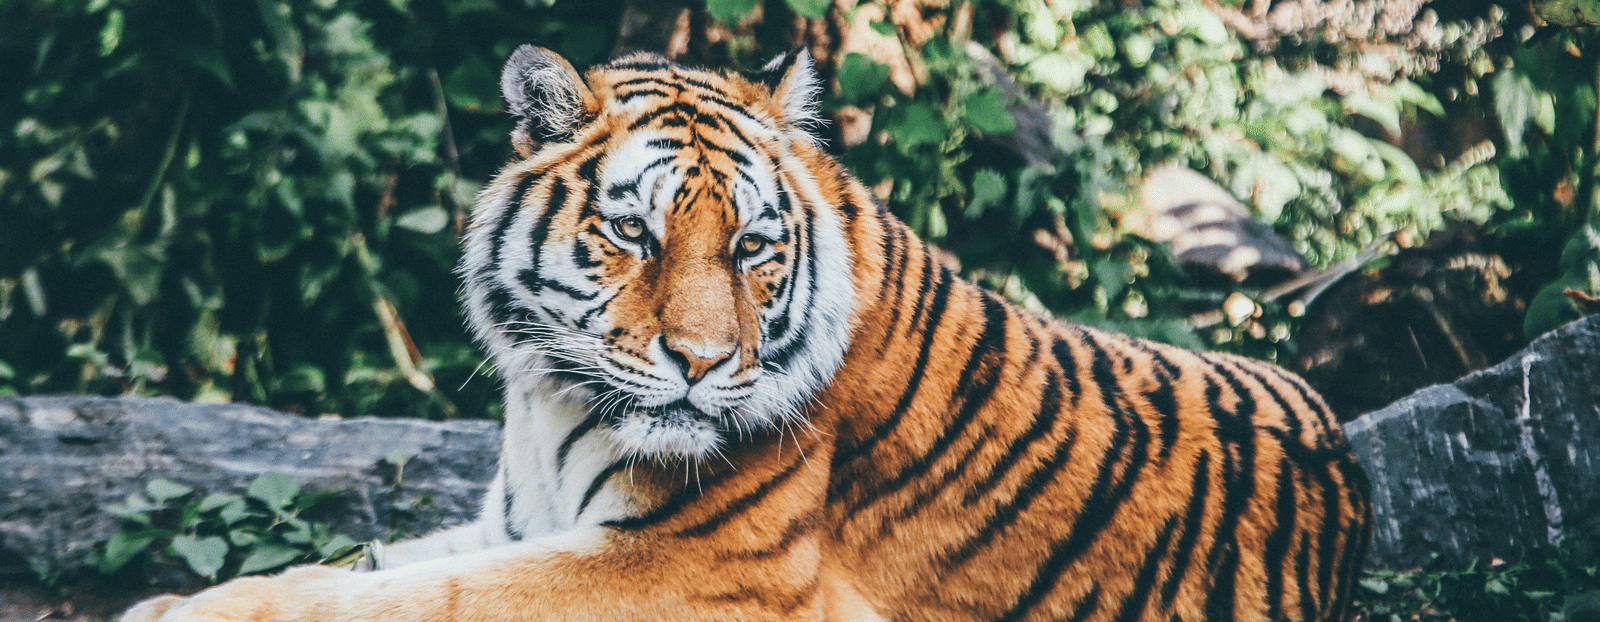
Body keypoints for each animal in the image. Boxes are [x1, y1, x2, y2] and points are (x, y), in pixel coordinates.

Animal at [123, 45, 1371, 622]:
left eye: (754, 247)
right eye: (631, 232)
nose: (703, 364)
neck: (550, 399)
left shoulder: (702, 562)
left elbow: (417, 597)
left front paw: (174, 607)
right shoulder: (513, 520)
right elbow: (369, 562)